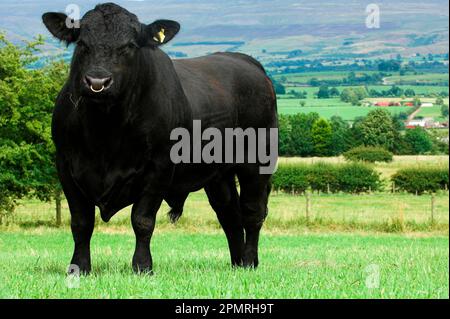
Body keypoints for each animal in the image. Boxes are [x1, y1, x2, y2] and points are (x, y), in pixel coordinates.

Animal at [42, 3, 278, 276]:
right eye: (81, 43)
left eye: (130, 45)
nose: (97, 82)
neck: (106, 131)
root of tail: (246, 61)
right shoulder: (65, 166)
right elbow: (81, 222)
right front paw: (78, 267)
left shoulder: (159, 166)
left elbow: (142, 219)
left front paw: (142, 266)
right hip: (219, 175)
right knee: (229, 214)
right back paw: (237, 263)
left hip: (257, 161)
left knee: (252, 212)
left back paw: (249, 261)